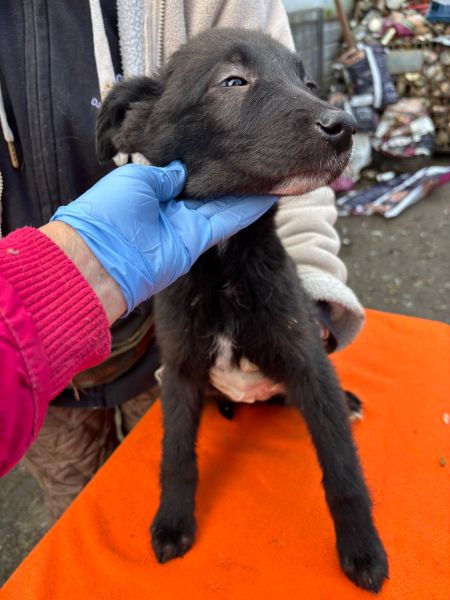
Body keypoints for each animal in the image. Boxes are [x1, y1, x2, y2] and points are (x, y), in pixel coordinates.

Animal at [96, 28, 388, 592]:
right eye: (233, 81)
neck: (227, 265)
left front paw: (362, 547)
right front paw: (173, 522)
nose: (345, 126)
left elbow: (343, 468)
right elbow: (176, 456)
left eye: (308, 83)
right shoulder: (182, 369)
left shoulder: (305, 358)